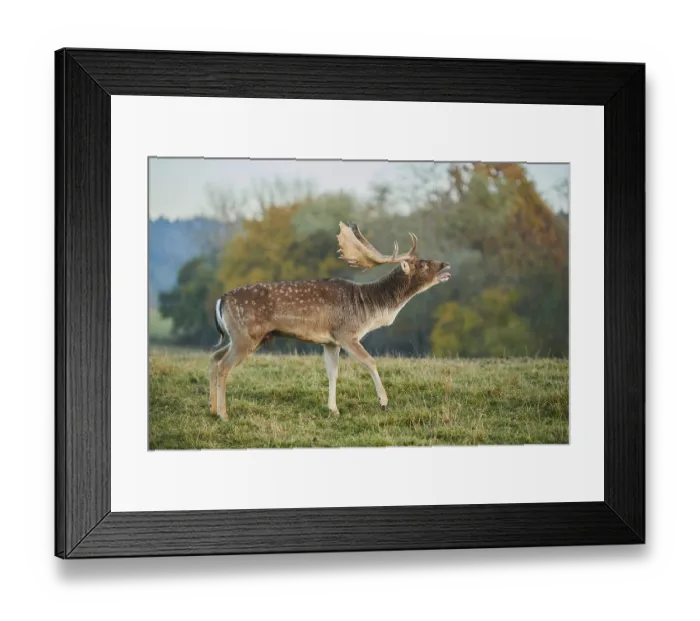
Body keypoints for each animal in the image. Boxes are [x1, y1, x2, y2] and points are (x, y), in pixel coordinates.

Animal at [209, 222, 451, 421]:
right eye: (422, 264)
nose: (445, 265)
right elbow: (370, 361)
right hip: (245, 335)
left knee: (214, 357)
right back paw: (224, 414)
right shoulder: (346, 333)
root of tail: (222, 299)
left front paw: (333, 409)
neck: (369, 308)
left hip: (243, 337)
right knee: (223, 366)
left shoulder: (330, 341)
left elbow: (332, 373)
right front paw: (383, 402)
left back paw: (212, 409)